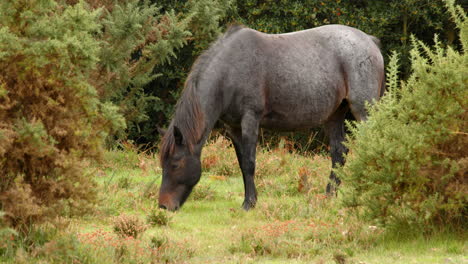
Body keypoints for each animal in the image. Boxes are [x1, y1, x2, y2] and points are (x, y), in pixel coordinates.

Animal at [157, 24, 384, 210]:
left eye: (175, 164)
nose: (163, 206)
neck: (230, 70)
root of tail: (370, 41)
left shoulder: (250, 119)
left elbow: (250, 162)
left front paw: (249, 204)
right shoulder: (233, 127)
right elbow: (242, 163)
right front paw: (251, 199)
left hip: (364, 111)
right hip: (335, 115)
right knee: (339, 152)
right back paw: (329, 196)